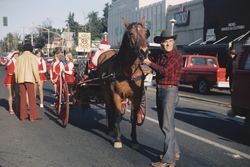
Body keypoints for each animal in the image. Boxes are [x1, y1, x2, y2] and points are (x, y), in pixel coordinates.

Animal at [97, 18, 148, 148]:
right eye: (131, 33)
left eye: (146, 33)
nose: (144, 51)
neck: (128, 72)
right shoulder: (116, 94)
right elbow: (118, 114)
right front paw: (118, 139)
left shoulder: (136, 96)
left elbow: (134, 117)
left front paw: (134, 140)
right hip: (105, 92)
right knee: (110, 109)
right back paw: (111, 128)